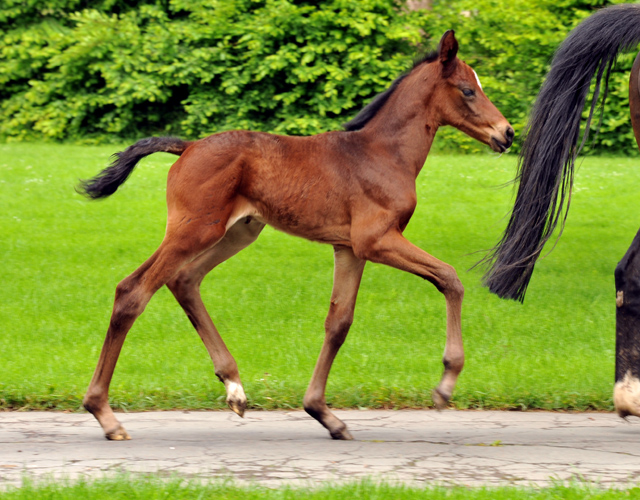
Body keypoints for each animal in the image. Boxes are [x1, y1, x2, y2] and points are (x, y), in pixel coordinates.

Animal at [80, 31, 512, 440]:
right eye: (468, 89)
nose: (506, 133)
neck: (384, 153)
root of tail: (187, 146)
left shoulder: (348, 248)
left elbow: (339, 323)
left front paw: (324, 414)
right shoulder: (375, 240)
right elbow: (449, 277)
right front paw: (445, 385)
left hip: (237, 232)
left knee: (183, 279)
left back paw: (234, 387)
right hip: (196, 229)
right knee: (134, 290)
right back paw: (105, 415)